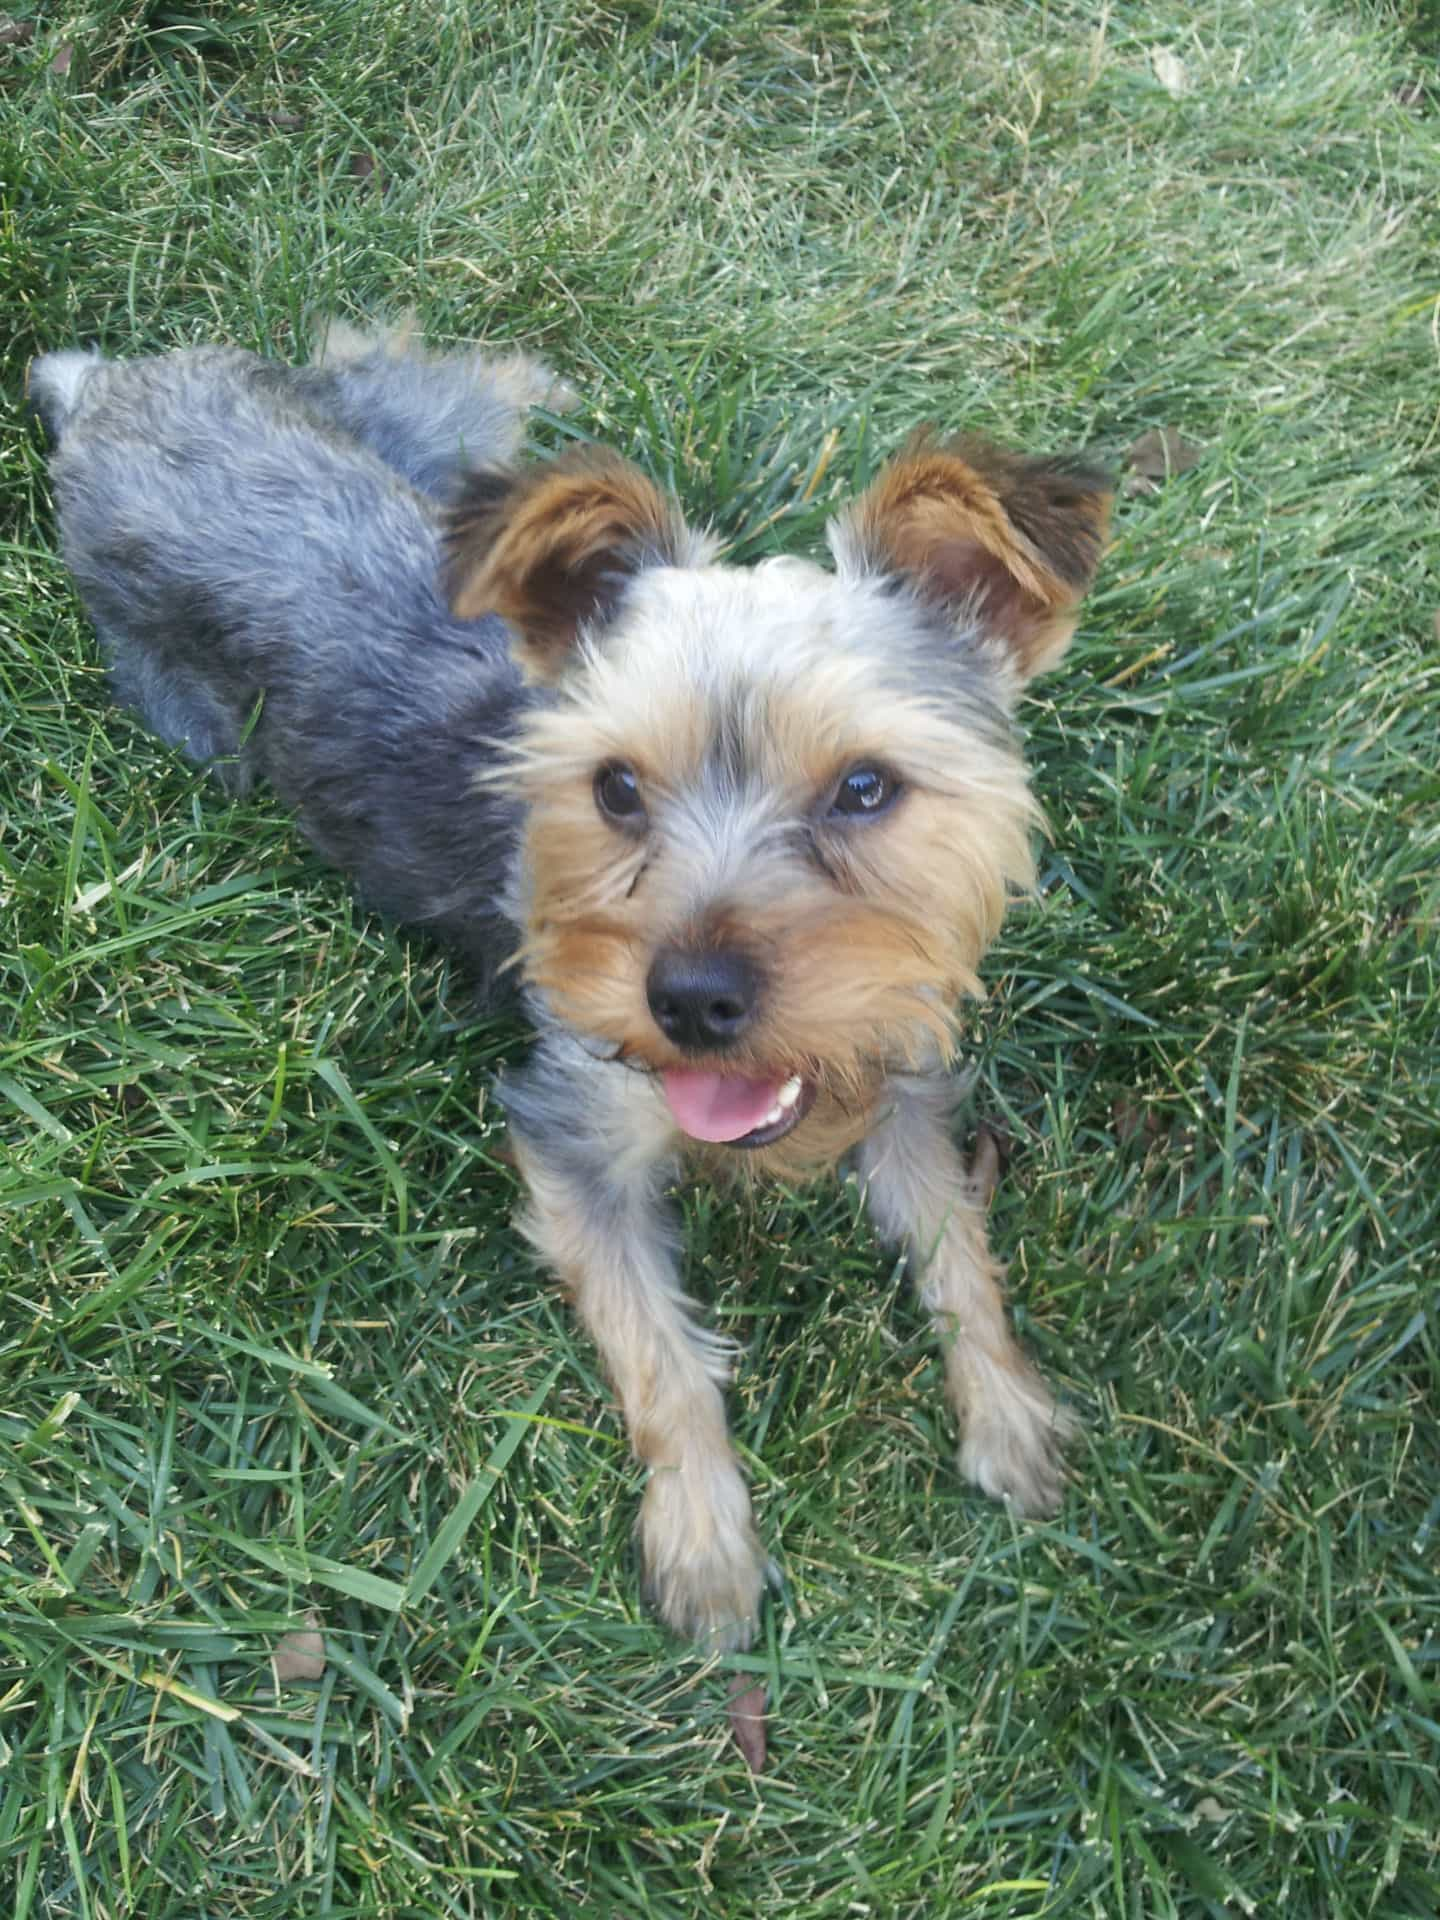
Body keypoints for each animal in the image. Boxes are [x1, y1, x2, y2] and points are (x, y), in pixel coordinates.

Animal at [36, 326, 1113, 1651]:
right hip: (203, 712)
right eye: (614, 787)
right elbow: (659, 1353)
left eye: (867, 788)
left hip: (401, 438)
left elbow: (960, 1247)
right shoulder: (574, 1134)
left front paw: (1010, 1416)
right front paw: (705, 1545)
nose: (688, 1000)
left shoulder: (900, 1056)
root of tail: (109, 397)